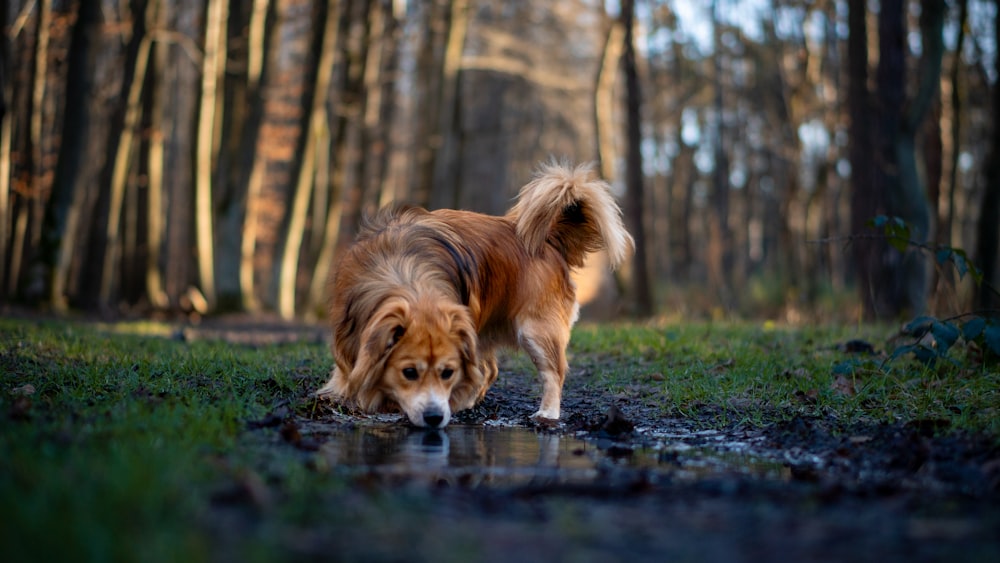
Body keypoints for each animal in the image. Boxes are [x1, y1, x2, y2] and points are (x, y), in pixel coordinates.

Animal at [316, 162, 632, 428]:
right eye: (409, 372)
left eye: (448, 373)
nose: (435, 417)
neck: (406, 273)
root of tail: (546, 239)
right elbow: (348, 369)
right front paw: (338, 392)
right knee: (489, 369)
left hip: (536, 330)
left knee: (552, 372)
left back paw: (546, 412)